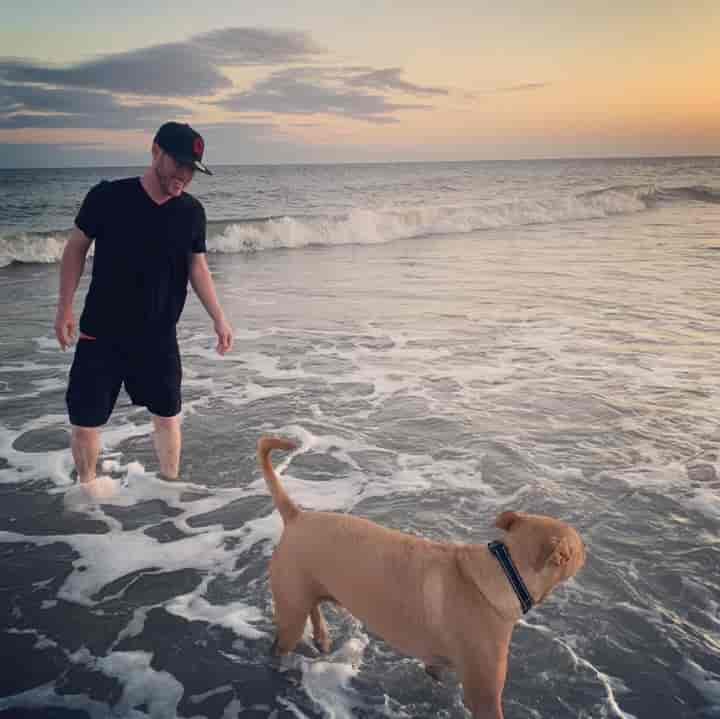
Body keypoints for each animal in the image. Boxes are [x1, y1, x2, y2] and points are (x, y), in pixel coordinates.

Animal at [258, 436, 586, 719]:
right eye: (578, 548)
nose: (588, 550)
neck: (501, 572)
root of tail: (297, 515)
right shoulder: (484, 694)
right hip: (290, 611)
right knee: (280, 643)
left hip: (306, 587)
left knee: (313, 605)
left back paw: (322, 637)